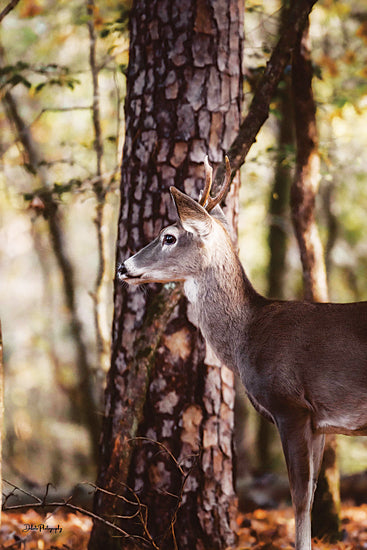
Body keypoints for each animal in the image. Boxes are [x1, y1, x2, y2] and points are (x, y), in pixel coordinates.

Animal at [118, 156, 367, 550]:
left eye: (169, 236)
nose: (123, 267)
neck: (248, 336)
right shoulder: (319, 422)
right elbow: (311, 494)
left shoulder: (290, 405)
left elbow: (299, 498)